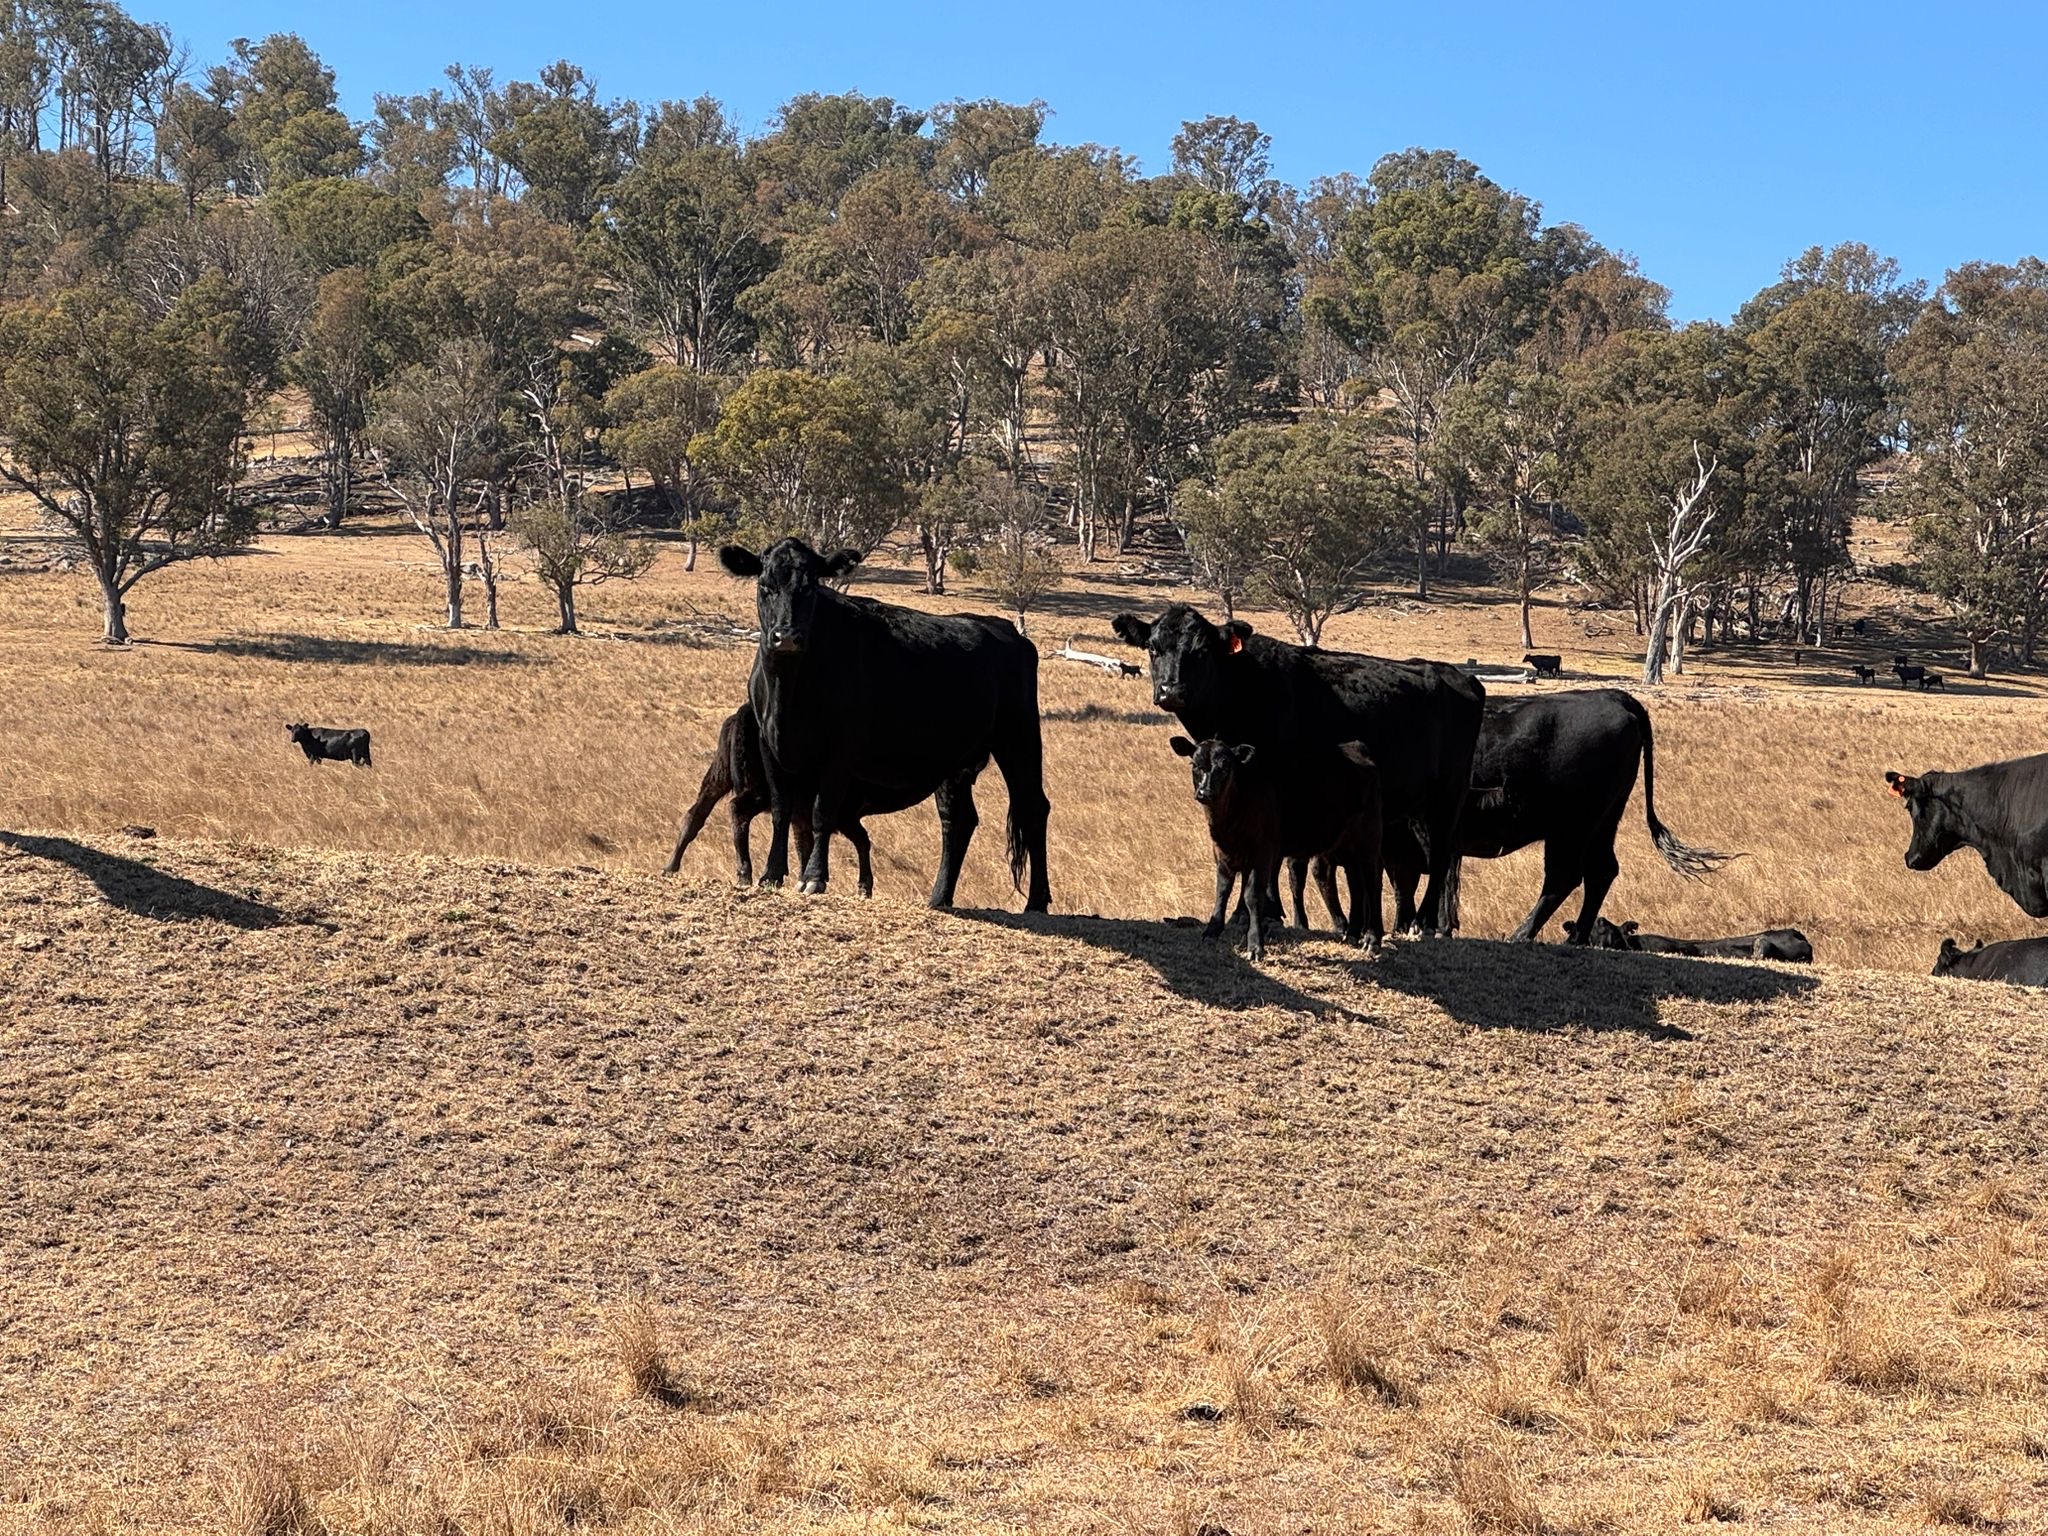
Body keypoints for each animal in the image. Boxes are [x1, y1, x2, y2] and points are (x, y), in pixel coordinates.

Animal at [664, 704, 922, 896]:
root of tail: (744, 713)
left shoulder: (805, 816)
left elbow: (805, 844)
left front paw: (805, 880)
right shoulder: (841, 816)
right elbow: (860, 840)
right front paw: (862, 887)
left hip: (719, 777)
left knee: (696, 814)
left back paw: (670, 868)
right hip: (757, 792)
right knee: (737, 810)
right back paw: (745, 873)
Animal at [720, 539, 1051, 910]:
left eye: (811, 588)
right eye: (765, 586)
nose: (786, 636)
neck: (787, 695)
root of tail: (1007, 631)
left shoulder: (839, 751)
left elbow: (822, 812)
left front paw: (814, 878)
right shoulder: (770, 746)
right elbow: (781, 810)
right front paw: (772, 874)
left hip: (1020, 739)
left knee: (1033, 807)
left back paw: (1036, 901)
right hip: (954, 765)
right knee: (958, 820)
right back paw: (939, 898)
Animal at [1112, 606, 1483, 936]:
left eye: (1201, 651)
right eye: (1153, 648)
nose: (1171, 691)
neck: (1243, 689)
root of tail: (1459, 676)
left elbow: (1271, 857)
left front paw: (1258, 913)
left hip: (1449, 795)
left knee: (1441, 857)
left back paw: (1426, 922)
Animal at [1172, 735, 1383, 960]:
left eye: (1226, 766)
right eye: (1195, 765)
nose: (1205, 792)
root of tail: (1354, 747)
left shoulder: (1263, 853)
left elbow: (1253, 896)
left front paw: (1255, 945)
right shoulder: (1223, 852)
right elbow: (1223, 890)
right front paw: (1212, 932)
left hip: (1369, 840)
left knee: (1372, 884)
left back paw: (1372, 939)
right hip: (1346, 847)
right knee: (1356, 886)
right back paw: (1352, 934)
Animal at [1384, 690, 1733, 942]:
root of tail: (1615, 697)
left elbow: (1429, 879)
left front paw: (1425, 927)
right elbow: (1416, 884)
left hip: (1570, 829)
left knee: (1564, 877)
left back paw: (1521, 935)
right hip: (1601, 824)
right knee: (1600, 871)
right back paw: (1576, 937)